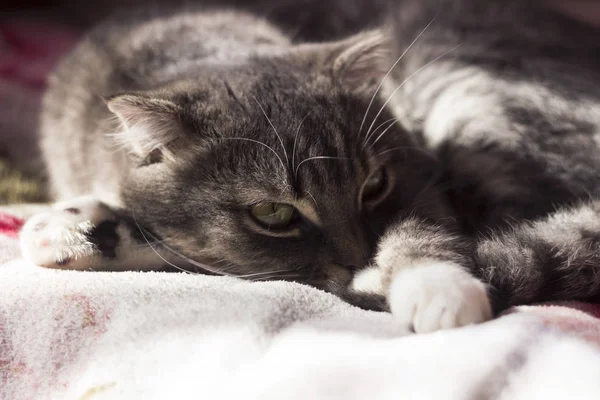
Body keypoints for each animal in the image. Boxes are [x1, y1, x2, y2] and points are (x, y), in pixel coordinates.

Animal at [17, 0, 600, 332]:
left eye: (374, 184)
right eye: (273, 213)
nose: (359, 256)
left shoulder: (423, 182)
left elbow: (423, 230)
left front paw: (438, 289)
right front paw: (81, 228)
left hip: (468, 88)